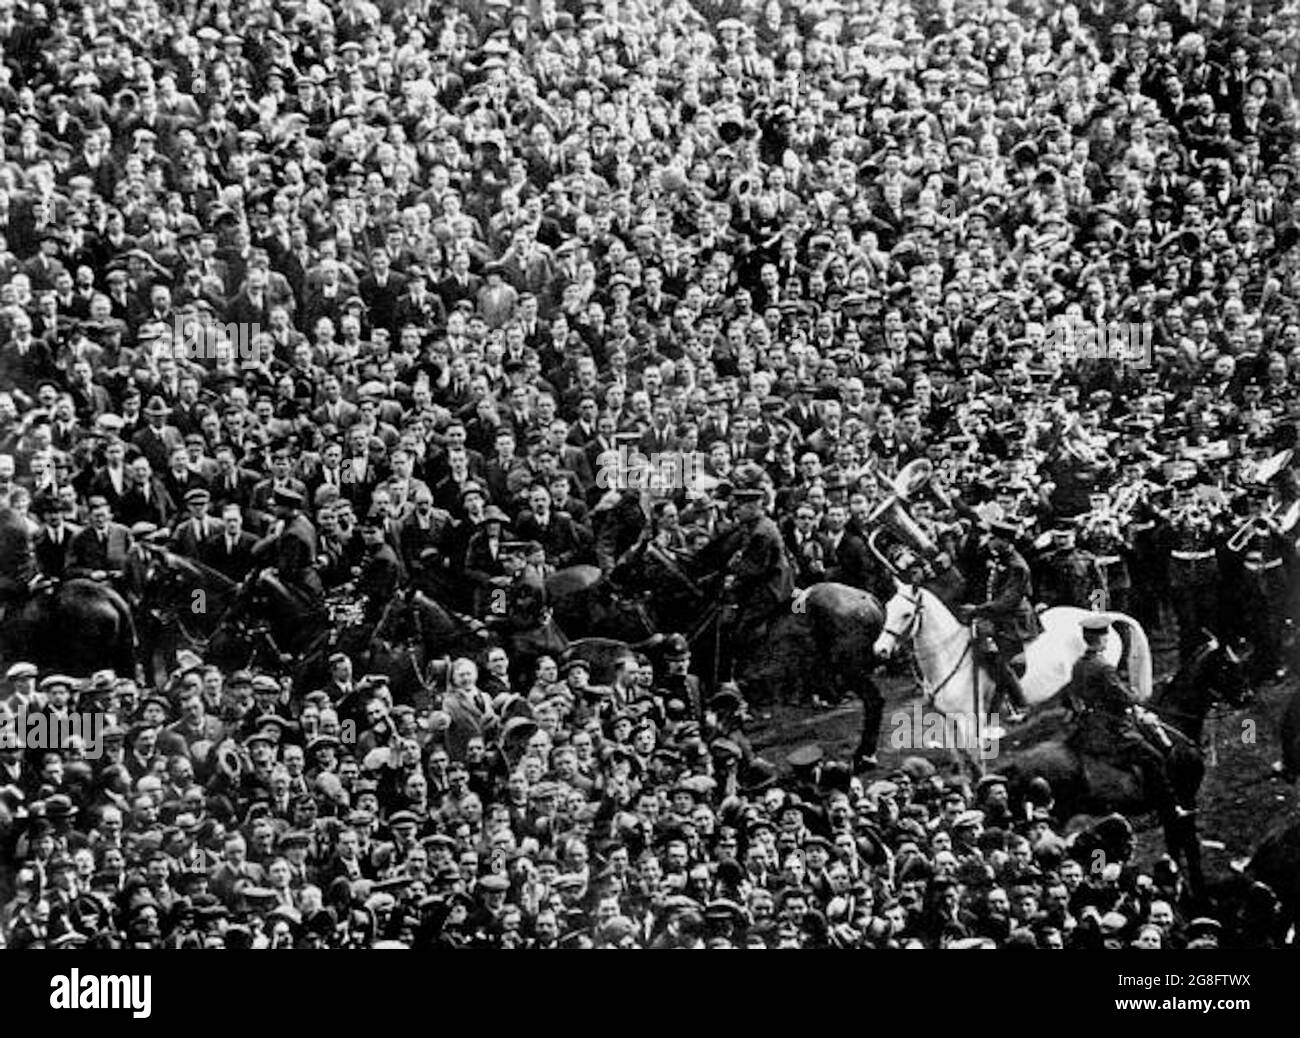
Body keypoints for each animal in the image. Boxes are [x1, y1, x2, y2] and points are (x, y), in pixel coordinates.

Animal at [873, 585, 1149, 738]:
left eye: (906, 614)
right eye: (888, 607)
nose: (881, 650)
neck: (949, 655)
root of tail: (1100, 617)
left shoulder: (968, 719)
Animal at [993, 634, 1248, 900]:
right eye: (1226, 666)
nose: (1247, 696)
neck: (1174, 733)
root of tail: (1015, 766)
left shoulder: (1168, 808)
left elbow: (1174, 847)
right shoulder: (1184, 801)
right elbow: (1190, 847)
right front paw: (1198, 892)